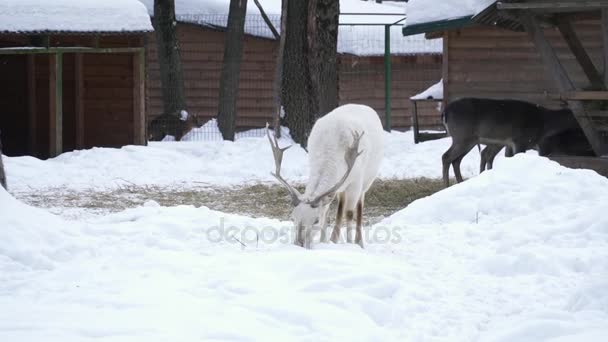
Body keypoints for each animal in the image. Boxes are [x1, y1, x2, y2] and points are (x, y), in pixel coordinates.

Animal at [268, 103, 384, 248]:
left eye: (315, 221)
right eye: (292, 217)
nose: (299, 243)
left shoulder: (356, 182)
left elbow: (349, 213)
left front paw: (350, 243)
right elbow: (328, 212)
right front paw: (324, 241)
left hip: (367, 180)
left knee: (358, 206)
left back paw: (359, 242)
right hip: (341, 188)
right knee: (340, 204)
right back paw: (333, 239)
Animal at [442, 97, 580, 186]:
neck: (544, 125)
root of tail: (445, 111)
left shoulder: (513, 144)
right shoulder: (521, 140)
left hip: (469, 140)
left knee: (458, 160)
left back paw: (459, 183)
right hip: (463, 136)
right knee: (446, 156)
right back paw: (446, 185)